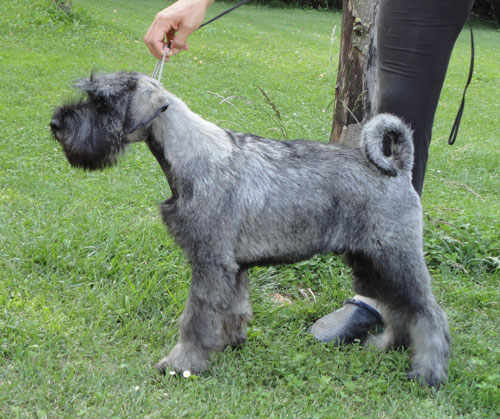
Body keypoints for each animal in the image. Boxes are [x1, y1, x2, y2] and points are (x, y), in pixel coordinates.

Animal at [49, 71, 450, 388]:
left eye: (103, 103)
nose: (56, 123)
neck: (190, 153)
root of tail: (398, 168)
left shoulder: (210, 262)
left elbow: (196, 319)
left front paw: (182, 364)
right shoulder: (233, 266)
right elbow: (233, 308)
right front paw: (229, 342)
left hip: (394, 256)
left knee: (428, 313)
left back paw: (428, 374)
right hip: (371, 260)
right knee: (397, 308)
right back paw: (387, 346)